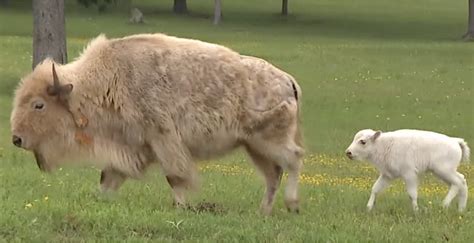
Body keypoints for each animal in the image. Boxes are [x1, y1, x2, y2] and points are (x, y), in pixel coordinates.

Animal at [10, 32, 304, 215]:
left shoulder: (163, 140)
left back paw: (292, 205)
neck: (110, 80)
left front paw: (181, 207)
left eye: (39, 104)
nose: (16, 138)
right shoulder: (130, 147)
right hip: (254, 147)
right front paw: (99, 200)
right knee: (274, 174)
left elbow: (175, 177)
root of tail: (288, 80)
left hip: (269, 140)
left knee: (294, 159)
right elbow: (108, 178)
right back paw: (263, 211)